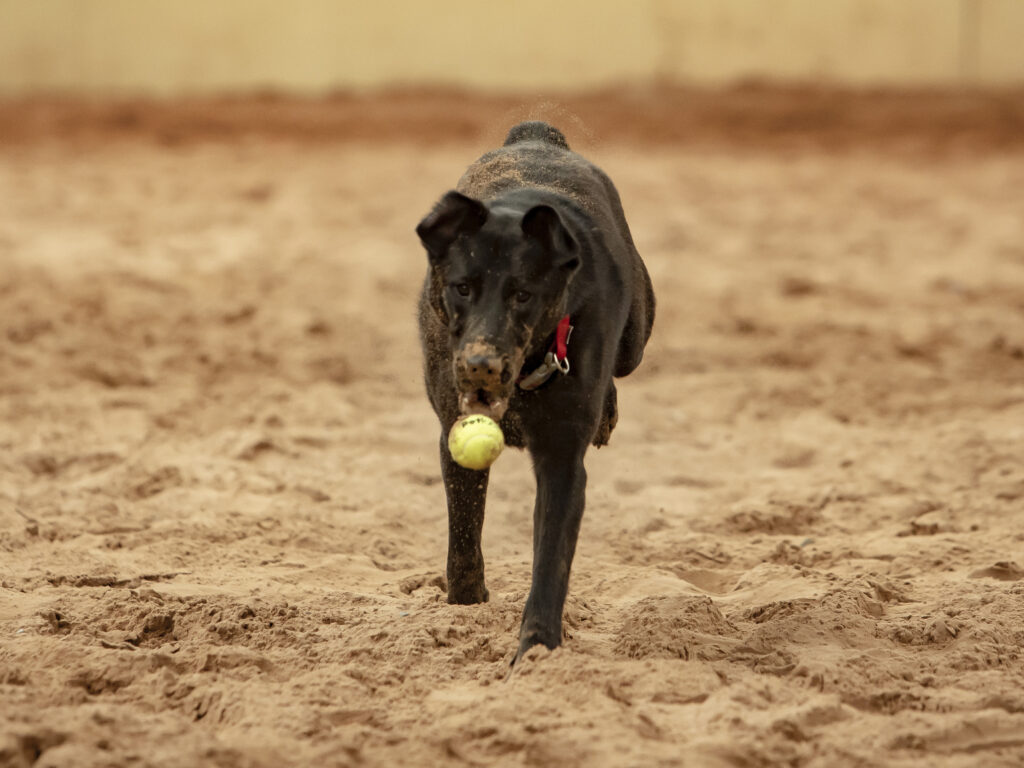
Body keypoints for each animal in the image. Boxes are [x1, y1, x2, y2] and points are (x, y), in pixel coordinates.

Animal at [415, 123, 655, 663]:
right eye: (462, 287)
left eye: (523, 294)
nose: (480, 366)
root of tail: (537, 136)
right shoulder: (453, 433)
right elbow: (464, 536)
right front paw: (467, 606)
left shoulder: (562, 458)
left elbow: (550, 559)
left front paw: (536, 651)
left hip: (636, 334)